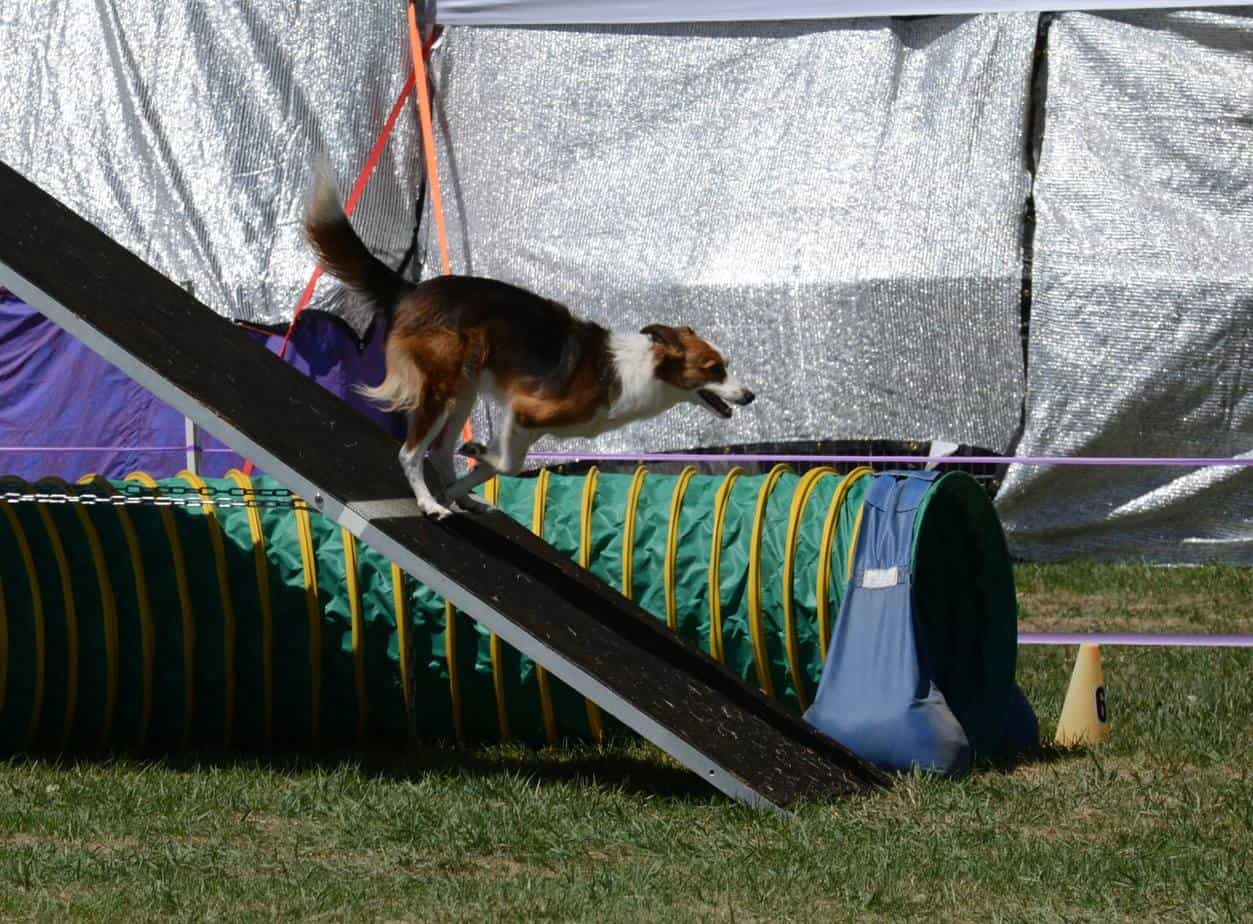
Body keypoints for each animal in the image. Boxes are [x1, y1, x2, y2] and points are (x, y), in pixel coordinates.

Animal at [303, 173, 751, 516]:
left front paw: (463, 483)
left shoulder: (527, 426)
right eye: (714, 368)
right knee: (411, 453)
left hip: (464, 388)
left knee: (441, 451)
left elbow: (500, 466)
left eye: (726, 364)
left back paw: (461, 498)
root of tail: (411, 290)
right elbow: (506, 464)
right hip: (443, 386)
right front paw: (474, 459)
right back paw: (430, 504)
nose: (750, 395)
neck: (636, 371)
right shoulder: (525, 411)